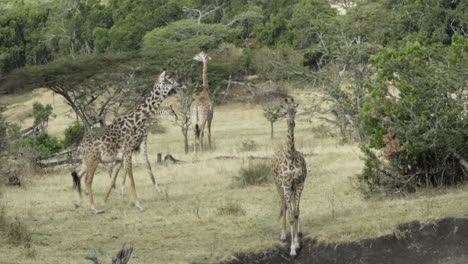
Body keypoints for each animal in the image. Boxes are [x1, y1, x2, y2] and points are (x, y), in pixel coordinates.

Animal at [71, 71, 185, 213]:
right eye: (169, 79)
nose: (182, 83)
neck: (138, 121)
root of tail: (80, 146)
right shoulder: (128, 151)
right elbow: (131, 178)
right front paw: (138, 204)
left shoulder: (124, 155)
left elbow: (115, 179)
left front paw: (106, 201)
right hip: (93, 160)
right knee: (87, 179)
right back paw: (93, 208)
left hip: (88, 161)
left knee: (78, 175)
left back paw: (80, 203)